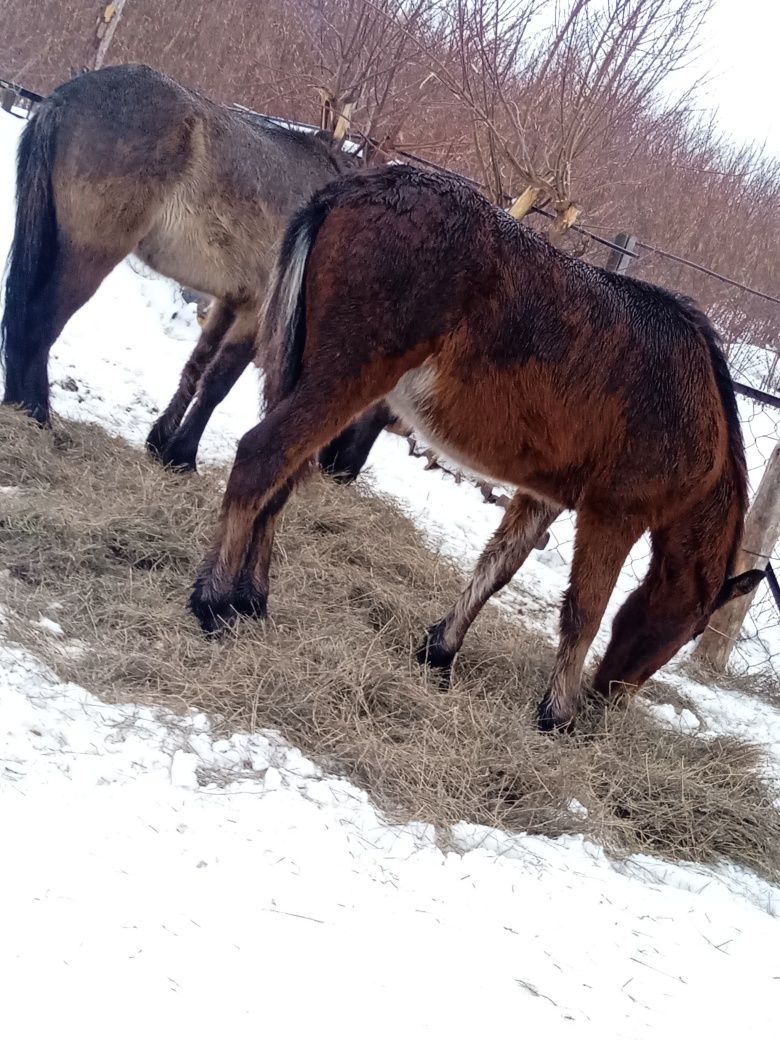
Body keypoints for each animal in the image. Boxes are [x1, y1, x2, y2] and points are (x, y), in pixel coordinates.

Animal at [0, 60, 391, 476]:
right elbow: (219, 383)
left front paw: (162, 444)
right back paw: (38, 413)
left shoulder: (231, 302)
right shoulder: (257, 314)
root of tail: (67, 96)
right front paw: (184, 454)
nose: (345, 470)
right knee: (41, 322)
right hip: (90, 253)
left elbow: (197, 368)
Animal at [189, 164, 765, 732]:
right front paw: (557, 714)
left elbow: (495, 569)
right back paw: (214, 602)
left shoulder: (545, 496)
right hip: (344, 379)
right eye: (693, 627)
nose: (608, 697)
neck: (691, 396)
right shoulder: (613, 516)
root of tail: (357, 186)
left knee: (283, 479)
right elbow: (585, 610)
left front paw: (440, 651)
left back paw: (251, 599)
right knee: (262, 458)